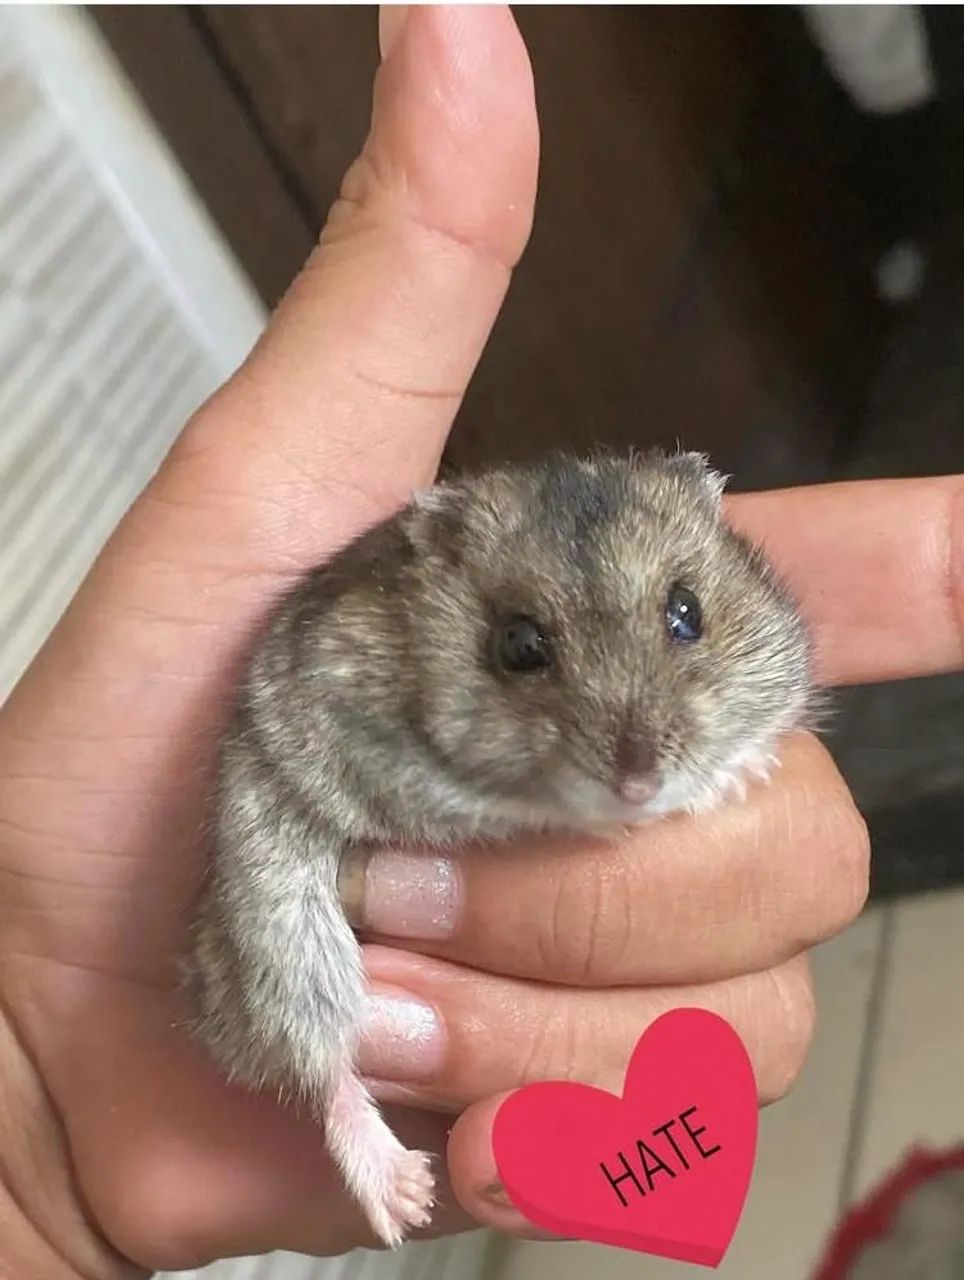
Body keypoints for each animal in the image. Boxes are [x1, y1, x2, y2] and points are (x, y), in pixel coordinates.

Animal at [185, 450, 813, 1246]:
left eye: (687, 612)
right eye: (518, 645)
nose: (639, 785)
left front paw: (744, 774)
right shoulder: (388, 764)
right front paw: (619, 824)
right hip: (275, 929)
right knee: (322, 1063)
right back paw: (407, 1199)